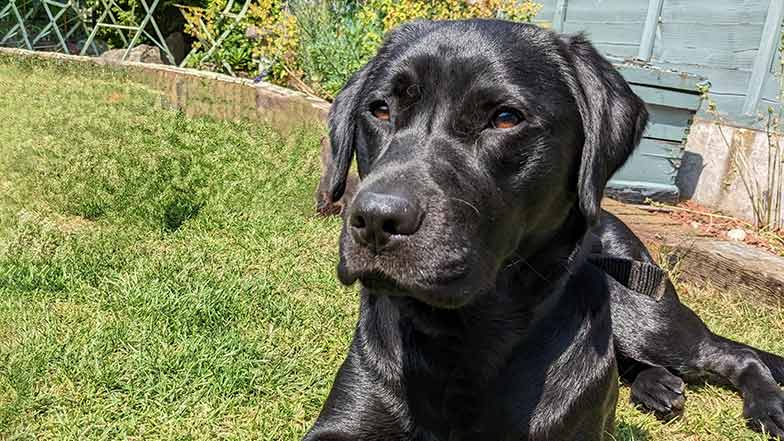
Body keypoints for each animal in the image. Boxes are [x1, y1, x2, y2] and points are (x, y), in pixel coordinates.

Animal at [304, 18, 784, 438]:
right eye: (380, 110)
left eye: (505, 118)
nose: (375, 219)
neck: (465, 338)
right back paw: (657, 385)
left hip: (642, 311)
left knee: (734, 354)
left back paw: (768, 406)